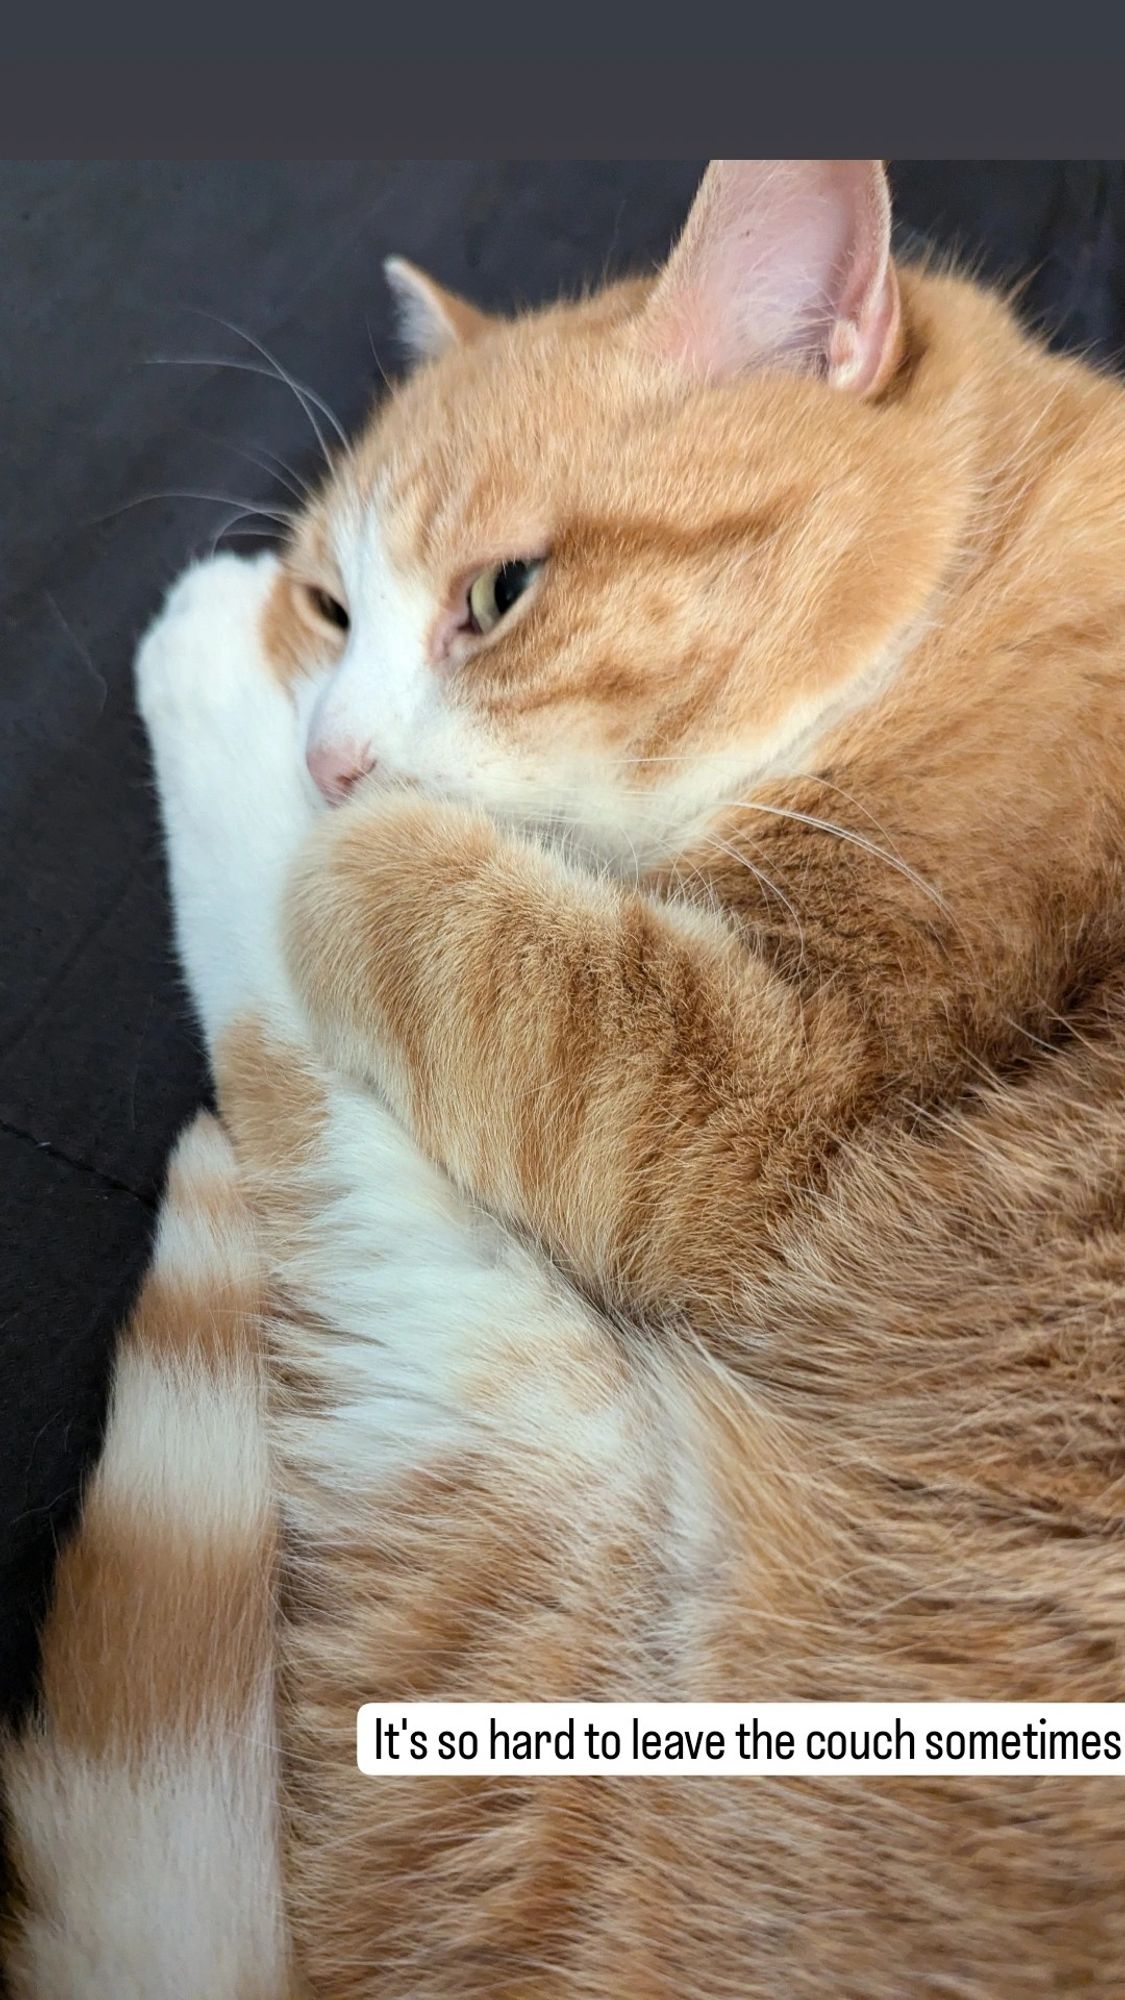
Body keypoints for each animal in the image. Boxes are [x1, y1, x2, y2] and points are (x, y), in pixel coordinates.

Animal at [6, 160, 1120, 2000]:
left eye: (500, 597)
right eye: (336, 605)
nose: (329, 748)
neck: (972, 586)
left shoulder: (749, 1100)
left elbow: (361, 891)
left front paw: (248, 699)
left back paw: (202, 683)